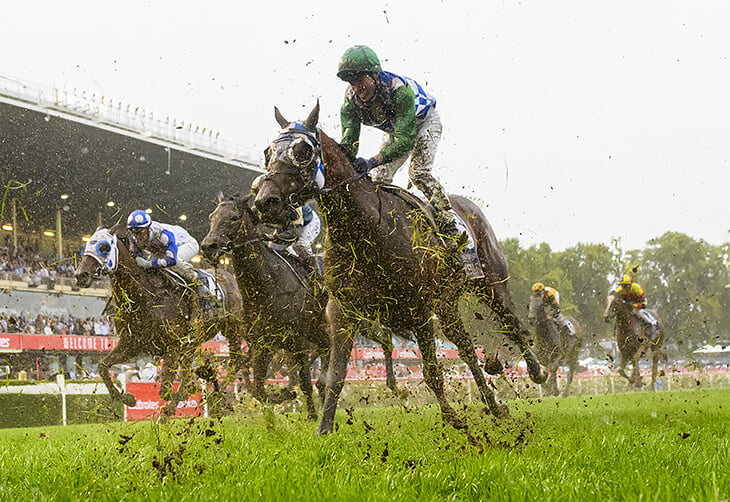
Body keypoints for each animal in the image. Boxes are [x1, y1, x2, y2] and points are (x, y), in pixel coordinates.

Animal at [74, 226, 245, 416]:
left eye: (104, 247)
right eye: (86, 246)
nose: (81, 275)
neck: (145, 295)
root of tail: (231, 277)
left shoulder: (173, 346)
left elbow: (166, 390)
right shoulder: (131, 344)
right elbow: (102, 366)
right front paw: (128, 398)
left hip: (234, 328)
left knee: (237, 360)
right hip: (192, 343)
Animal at [253, 103, 544, 436]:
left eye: (303, 150)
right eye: (268, 152)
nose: (265, 201)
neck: (365, 230)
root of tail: (468, 205)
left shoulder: (420, 309)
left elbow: (432, 372)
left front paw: (453, 418)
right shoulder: (343, 310)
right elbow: (333, 375)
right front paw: (324, 429)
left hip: (488, 284)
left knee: (507, 326)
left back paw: (533, 374)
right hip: (447, 304)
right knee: (467, 345)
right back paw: (496, 400)